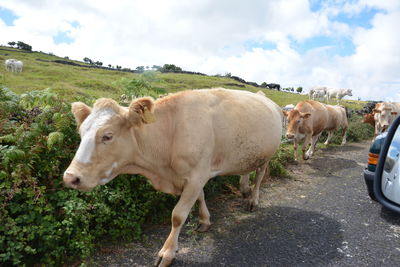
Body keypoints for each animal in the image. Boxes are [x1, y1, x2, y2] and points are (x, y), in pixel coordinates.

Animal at [62, 88, 282, 267]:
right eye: (81, 133)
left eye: (107, 136)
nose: (70, 177)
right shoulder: (194, 177)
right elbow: (200, 197)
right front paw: (205, 220)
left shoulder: (197, 175)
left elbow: (178, 216)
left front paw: (167, 252)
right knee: (246, 170)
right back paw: (244, 189)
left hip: (268, 155)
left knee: (260, 176)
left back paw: (253, 199)